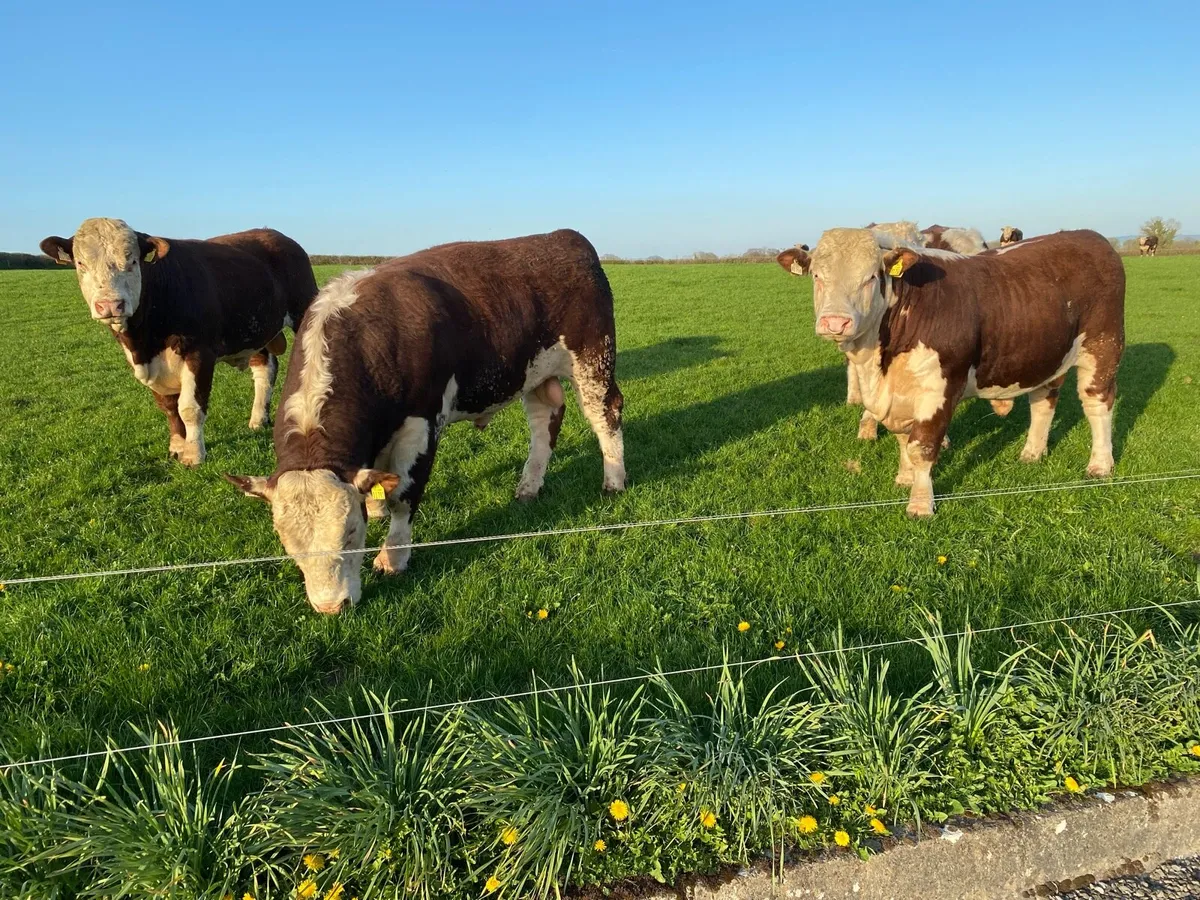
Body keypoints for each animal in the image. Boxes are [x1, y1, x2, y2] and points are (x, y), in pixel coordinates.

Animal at [40, 219, 317, 466]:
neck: (145, 340)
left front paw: (194, 455)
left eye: (132, 261)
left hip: (304, 313)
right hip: (257, 332)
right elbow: (169, 407)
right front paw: (176, 447)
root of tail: (273, 234)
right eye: (80, 263)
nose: (110, 304)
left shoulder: (199, 352)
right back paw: (258, 419)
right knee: (264, 371)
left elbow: (189, 408)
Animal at [227, 229, 626, 614]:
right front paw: (377, 508)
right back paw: (529, 487)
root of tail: (563, 237)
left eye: (350, 533)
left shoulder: (420, 427)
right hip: (534, 375)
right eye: (288, 544)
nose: (330, 607)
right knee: (544, 424)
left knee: (606, 414)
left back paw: (614, 480)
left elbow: (404, 496)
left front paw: (392, 557)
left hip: (593, 361)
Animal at [780, 228, 1124, 516]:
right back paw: (1032, 452)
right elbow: (904, 440)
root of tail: (1091, 236)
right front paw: (904, 477)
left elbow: (922, 446)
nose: (835, 322)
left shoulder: (939, 388)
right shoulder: (901, 393)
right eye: (817, 276)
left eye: (871, 278)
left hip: (1103, 346)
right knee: (1043, 401)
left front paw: (920, 504)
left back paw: (1100, 464)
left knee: (1097, 403)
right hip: (1046, 355)